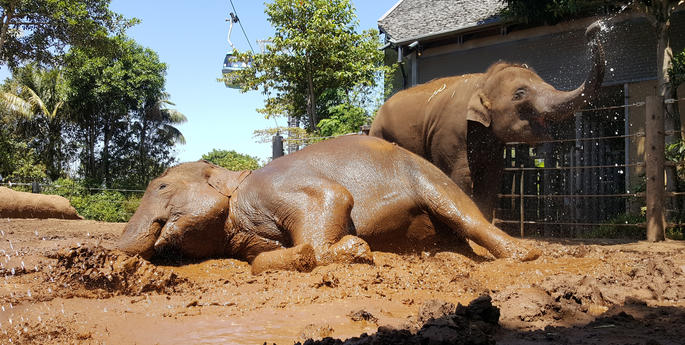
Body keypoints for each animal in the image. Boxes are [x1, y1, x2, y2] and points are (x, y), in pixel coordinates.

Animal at [117, 134, 540, 272]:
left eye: (161, 186)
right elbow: (257, 260)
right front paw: (299, 255)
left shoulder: (274, 186)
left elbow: (334, 195)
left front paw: (356, 249)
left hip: (428, 175)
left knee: (462, 213)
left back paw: (527, 254)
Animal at [368, 22, 604, 220]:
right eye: (519, 94)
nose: (593, 28)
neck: (483, 81)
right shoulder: (451, 135)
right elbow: (461, 178)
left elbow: (491, 179)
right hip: (380, 134)